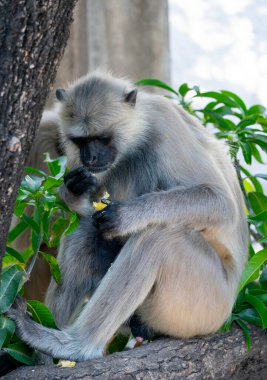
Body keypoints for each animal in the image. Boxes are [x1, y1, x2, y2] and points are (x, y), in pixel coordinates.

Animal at [7, 70, 249, 360]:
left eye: (102, 138)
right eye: (80, 141)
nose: (90, 157)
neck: (138, 133)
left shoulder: (164, 125)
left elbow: (220, 202)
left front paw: (126, 215)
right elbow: (80, 208)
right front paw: (75, 191)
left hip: (204, 305)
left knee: (158, 238)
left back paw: (74, 346)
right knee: (86, 228)